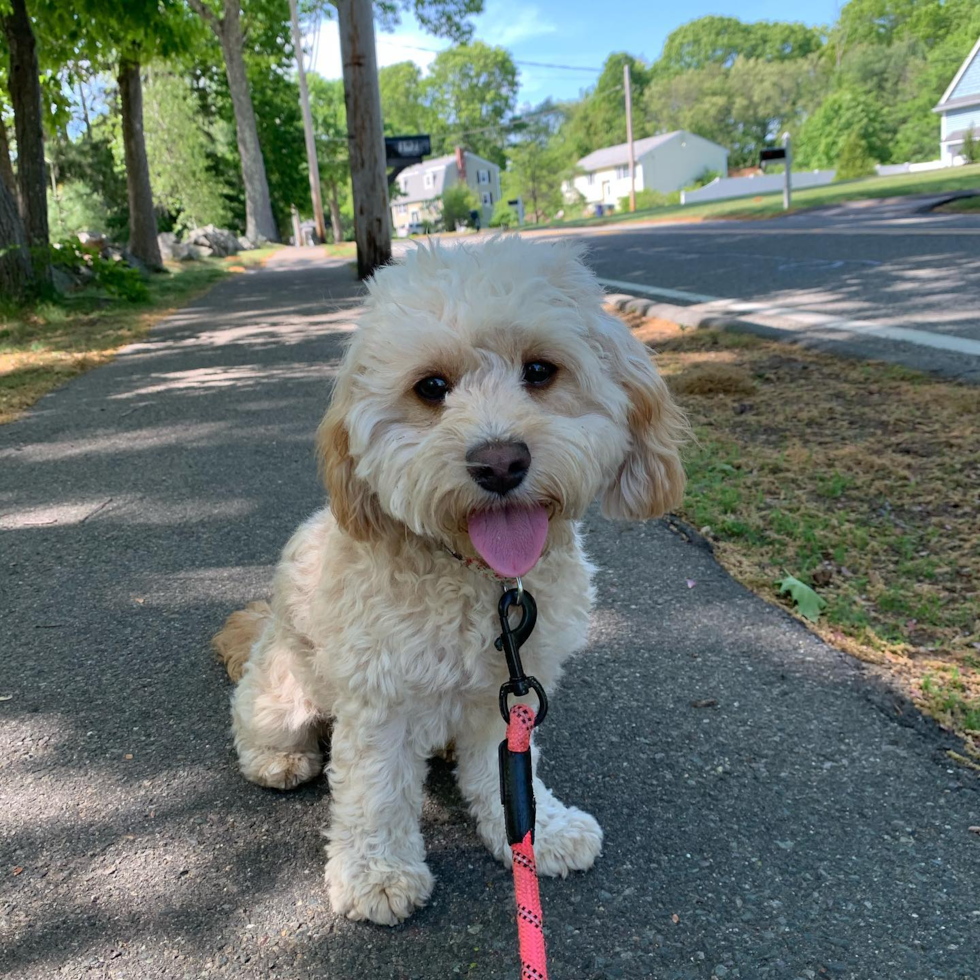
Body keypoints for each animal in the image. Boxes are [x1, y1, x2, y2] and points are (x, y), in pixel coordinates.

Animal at [215, 237, 684, 928]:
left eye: (540, 371)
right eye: (431, 387)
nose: (500, 462)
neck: (482, 582)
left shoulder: (508, 695)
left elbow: (509, 774)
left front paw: (537, 833)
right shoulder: (379, 697)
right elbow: (377, 792)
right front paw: (378, 874)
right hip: (282, 688)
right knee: (261, 723)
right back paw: (279, 757)